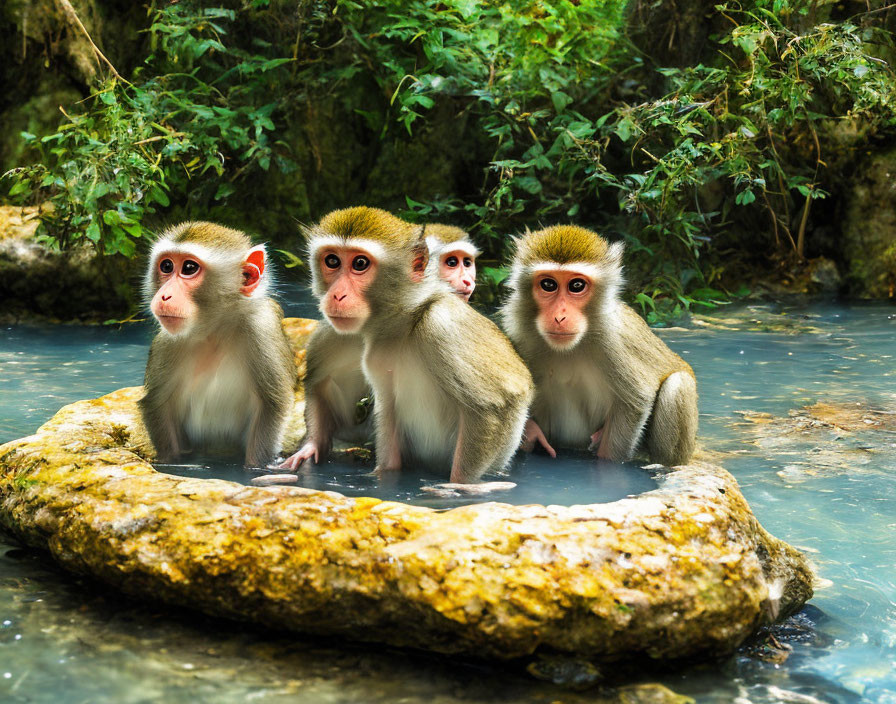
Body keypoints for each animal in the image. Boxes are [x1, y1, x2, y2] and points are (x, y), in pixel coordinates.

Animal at [138, 223, 296, 468]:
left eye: (189, 268)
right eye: (166, 266)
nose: (164, 295)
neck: (214, 331)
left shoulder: (261, 328)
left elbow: (271, 404)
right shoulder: (167, 342)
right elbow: (158, 403)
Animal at [280, 208, 532, 484]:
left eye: (360, 264)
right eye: (332, 261)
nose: (337, 295)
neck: (404, 322)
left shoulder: (443, 324)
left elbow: (496, 403)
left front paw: (459, 486)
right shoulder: (349, 339)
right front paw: (312, 447)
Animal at [496, 226, 700, 468]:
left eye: (576, 286)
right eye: (548, 285)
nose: (559, 316)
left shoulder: (614, 341)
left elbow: (636, 401)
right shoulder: (520, 334)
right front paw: (532, 433)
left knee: (678, 384)